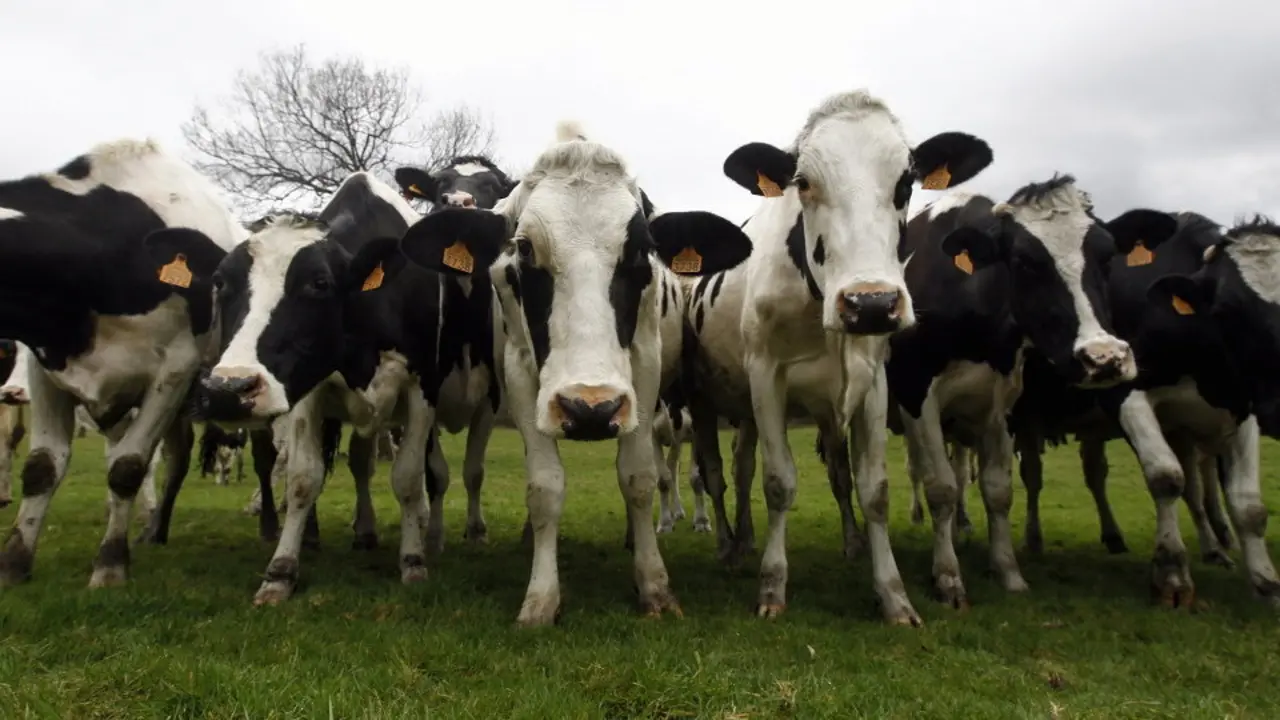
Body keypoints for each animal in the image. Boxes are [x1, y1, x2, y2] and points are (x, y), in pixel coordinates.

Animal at [0, 138, 249, 588]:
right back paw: (155, 529)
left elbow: (128, 467)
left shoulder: (174, 370)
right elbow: (42, 466)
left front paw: (110, 565)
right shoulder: (47, 367)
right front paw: (14, 562)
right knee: (177, 458)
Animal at [157, 169, 500, 605]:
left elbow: (408, 479)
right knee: (356, 464)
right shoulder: (309, 393)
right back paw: (350, 532)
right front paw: (281, 571)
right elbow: (304, 477)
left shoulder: (422, 389)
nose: (228, 389)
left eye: (319, 283)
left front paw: (413, 561)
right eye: (219, 282)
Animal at [396, 121, 754, 626]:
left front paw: (654, 584)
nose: (591, 409)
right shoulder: (521, 376)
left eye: (642, 249)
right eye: (524, 248)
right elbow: (544, 485)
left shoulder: (643, 370)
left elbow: (639, 478)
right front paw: (541, 597)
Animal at [681, 89, 994, 624]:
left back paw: (755, 541)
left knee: (746, 471)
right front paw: (772, 585)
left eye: (905, 182)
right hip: (705, 402)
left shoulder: (873, 383)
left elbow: (872, 489)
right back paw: (727, 546)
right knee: (717, 474)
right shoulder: (765, 376)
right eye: (803, 183)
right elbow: (779, 482)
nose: (870, 303)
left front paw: (893, 594)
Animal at [883, 177, 1178, 608]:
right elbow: (941, 487)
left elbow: (998, 491)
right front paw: (948, 578)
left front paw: (1007, 571)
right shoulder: (917, 395)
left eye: (1107, 257)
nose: (1104, 357)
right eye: (1024, 261)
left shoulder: (1001, 407)